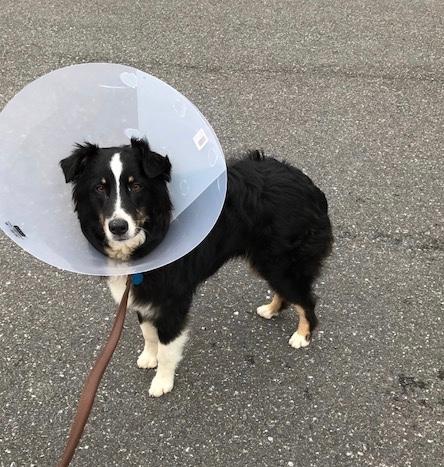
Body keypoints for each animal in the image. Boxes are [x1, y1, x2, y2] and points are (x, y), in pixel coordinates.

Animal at [61, 137, 332, 396]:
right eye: (100, 188)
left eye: (136, 186)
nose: (118, 227)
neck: (151, 235)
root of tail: (307, 184)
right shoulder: (143, 293)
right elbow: (147, 332)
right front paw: (148, 357)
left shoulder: (172, 301)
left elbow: (167, 347)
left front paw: (162, 382)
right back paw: (271, 309)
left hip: (280, 264)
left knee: (306, 300)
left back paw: (302, 335)